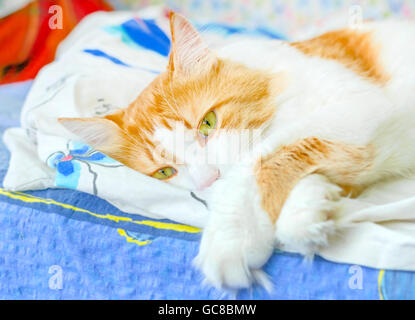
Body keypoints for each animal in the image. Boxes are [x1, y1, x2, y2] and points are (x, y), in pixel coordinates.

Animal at [58, 12, 415, 290]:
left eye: (208, 123)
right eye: (165, 172)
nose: (208, 180)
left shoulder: (358, 107)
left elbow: (257, 163)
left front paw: (231, 237)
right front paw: (309, 210)